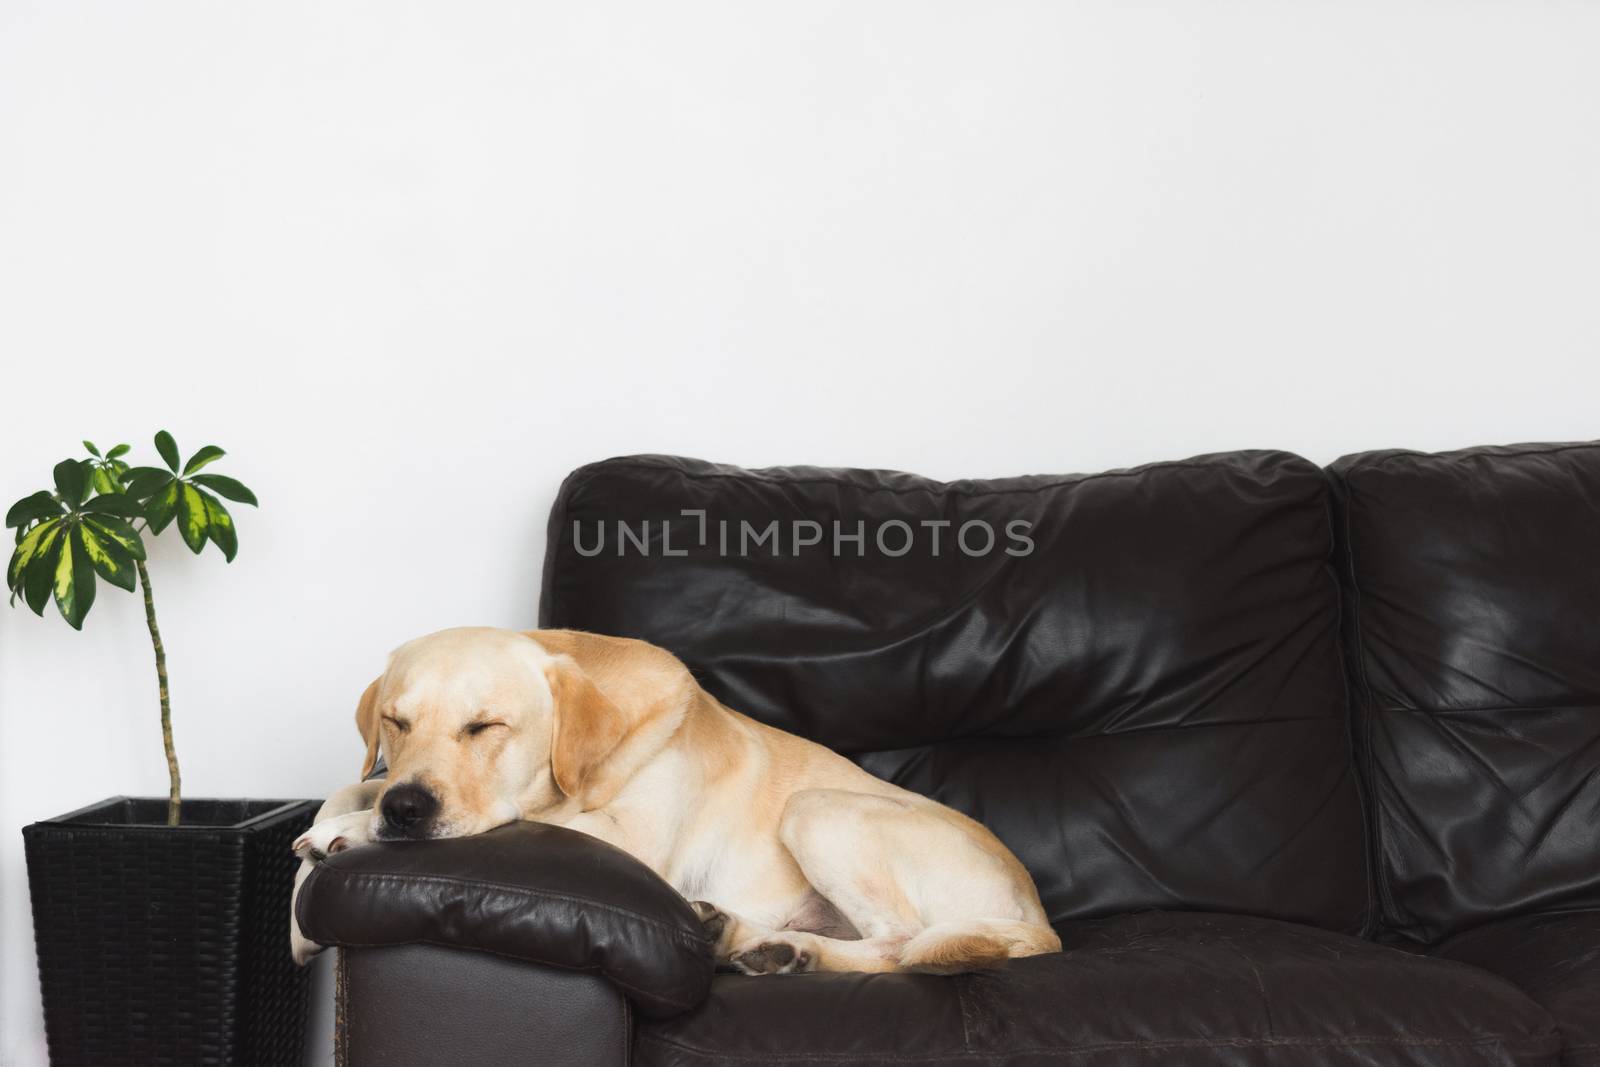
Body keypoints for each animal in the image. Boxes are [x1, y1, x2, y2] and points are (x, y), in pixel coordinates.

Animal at [291, 627, 1062, 979]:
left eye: (485, 726)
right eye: (395, 721)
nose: (407, 809)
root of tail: (1040, 919)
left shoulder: (624, 837)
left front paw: (345, 833)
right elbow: (349, 785)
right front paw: (310, 883)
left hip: (817, 807)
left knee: (902, 945)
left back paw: (780, 948)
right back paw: (756, 941)